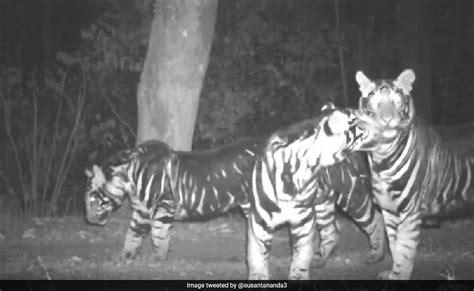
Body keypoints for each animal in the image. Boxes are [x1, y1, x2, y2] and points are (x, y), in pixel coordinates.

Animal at [244, 105, 374, 280]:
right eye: (359, 120)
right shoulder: (259, 221)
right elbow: (257, 255)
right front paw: (258, 277)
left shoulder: (303, 219)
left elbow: (301, 255)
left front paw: (298, 275)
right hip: (323, 205)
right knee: (332, 231)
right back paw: (319, 259)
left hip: (352, 196)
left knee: (375, 221)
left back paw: (376, 255)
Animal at [354, 69, 474, 280]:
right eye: (375, 101)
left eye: (396, 101)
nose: (386, 119)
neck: (381, 157)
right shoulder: (389, 209)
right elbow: (394, 245)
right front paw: (392, 273)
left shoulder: (409, 210)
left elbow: (404, 249)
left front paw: (399, 275)